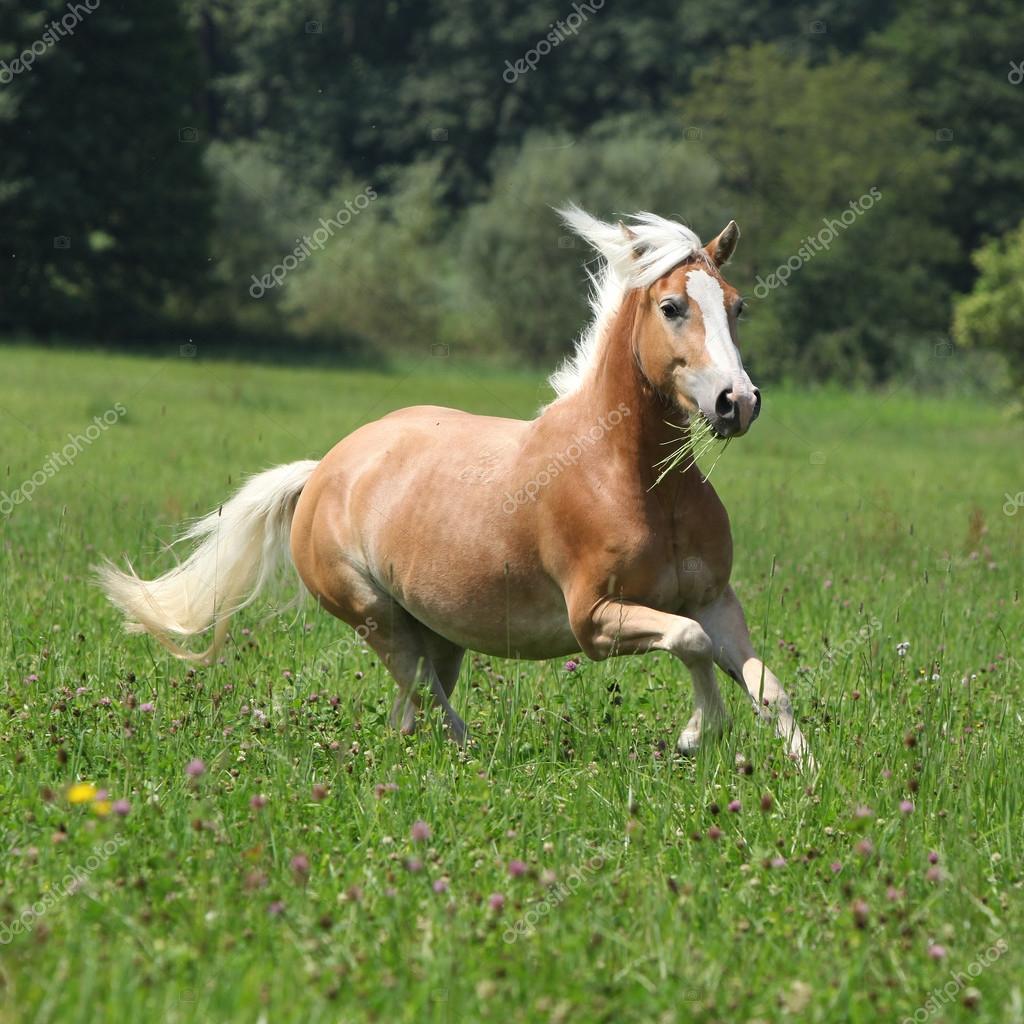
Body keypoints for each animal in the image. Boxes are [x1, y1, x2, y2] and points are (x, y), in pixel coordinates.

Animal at [98, 206, 812, 766]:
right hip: (379, 619)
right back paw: (464, 755)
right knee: (424, 705)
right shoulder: (595, 619)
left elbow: (765, 685)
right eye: (671, 306)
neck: (639, 484)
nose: (737, 402)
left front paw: (803, 770)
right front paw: (699, 733)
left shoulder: (714, 600)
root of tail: (324, 470)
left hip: (437, 632)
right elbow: (690, 644)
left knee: (408, 713)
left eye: (738, 305)